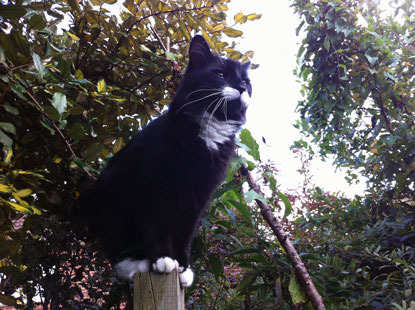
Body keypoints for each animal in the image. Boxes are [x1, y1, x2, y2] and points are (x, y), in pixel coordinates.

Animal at [79, 35, 252, 288]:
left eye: (246, 82)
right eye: (221, 74)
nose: (241, 87)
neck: (208, 131)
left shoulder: (198, 197)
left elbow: (185, 232)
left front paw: (183, 266)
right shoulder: (153, 187)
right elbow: (157, 225)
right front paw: (163, 259)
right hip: (111, 198)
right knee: (115, 241)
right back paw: (136, 264)